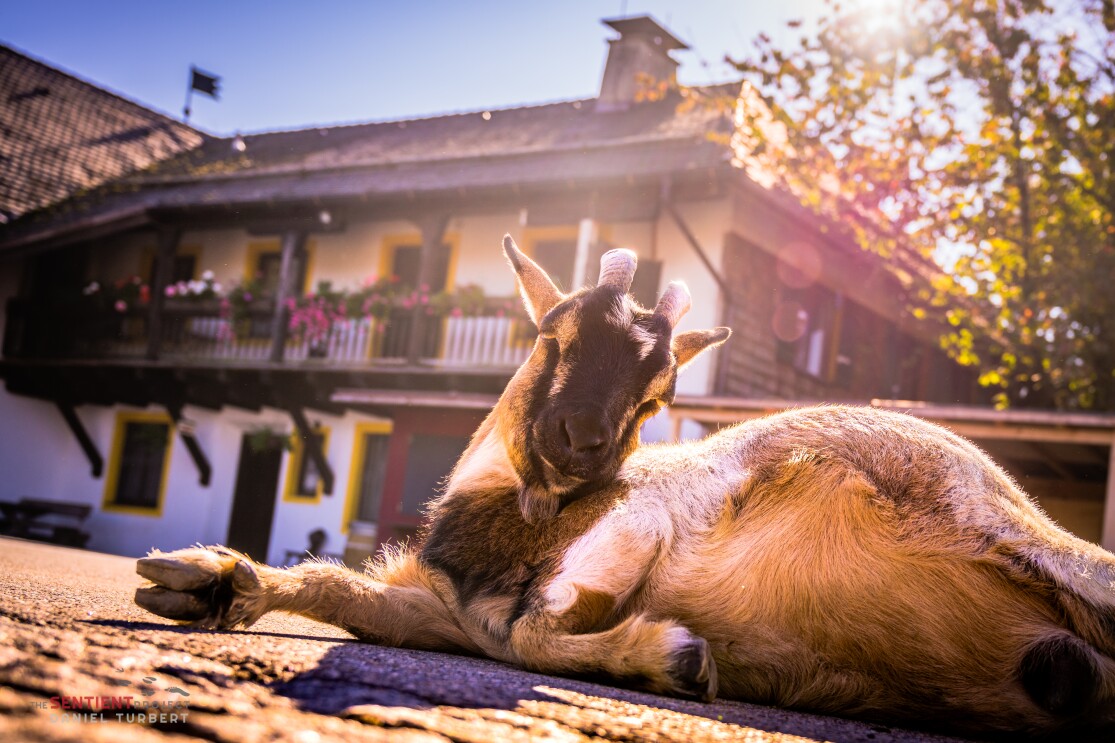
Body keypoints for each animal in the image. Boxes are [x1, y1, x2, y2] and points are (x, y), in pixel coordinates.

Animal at [137, 237, 1115, 736]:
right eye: (555, 334)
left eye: (658, 395)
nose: (583, 443)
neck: (514, 528)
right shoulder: (445, 609)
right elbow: (354, 592)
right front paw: (203, 579)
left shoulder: (649, 514)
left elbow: (532, 631)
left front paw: (673, 655)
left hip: (1020, 536)